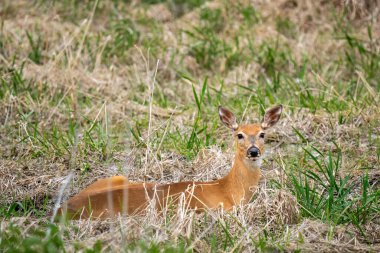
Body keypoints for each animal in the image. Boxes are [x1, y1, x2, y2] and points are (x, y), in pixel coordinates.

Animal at [57, 105, 282, 219]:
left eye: (262, 134)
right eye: (239, 135)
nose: (253, 151)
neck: (228, 189)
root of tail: (64, 207)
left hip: (116, 177)